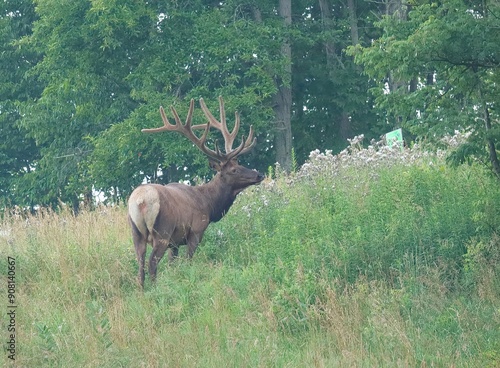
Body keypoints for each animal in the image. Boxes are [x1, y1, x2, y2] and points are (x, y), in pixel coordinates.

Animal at [128, 97, 266, 288]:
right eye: (234, 170)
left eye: (239, 163)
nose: (259, 174)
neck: (209, 204)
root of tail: (140, 201)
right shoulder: (196, 230)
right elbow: (188, 261)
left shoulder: (175, 242)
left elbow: (173, 264)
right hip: (162, 231)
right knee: (152, 262)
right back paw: (155, 289)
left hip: (136, 232)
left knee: (140, 264)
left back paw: (142, 290)